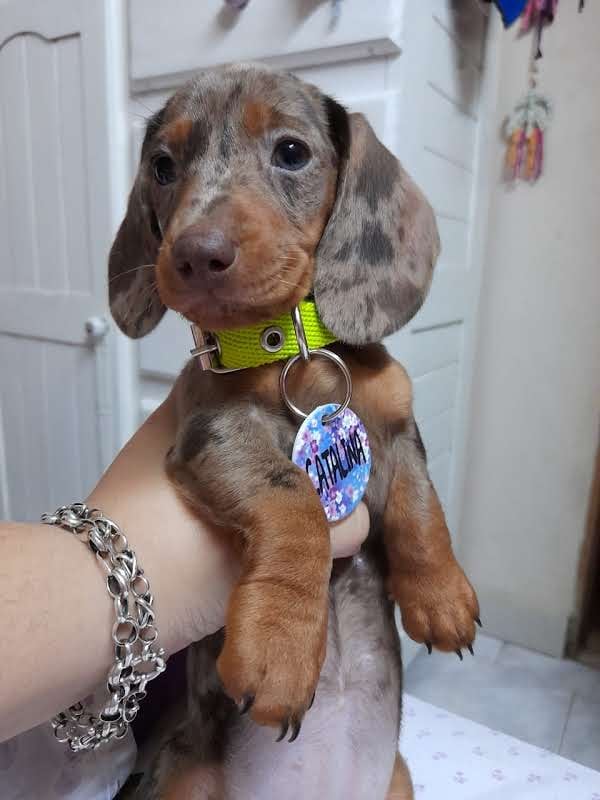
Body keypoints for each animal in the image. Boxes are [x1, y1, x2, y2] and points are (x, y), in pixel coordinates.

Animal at [110, 64, 480, 800]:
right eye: (162, 166)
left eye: (290, 152)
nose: (194, 254)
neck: (287, 347)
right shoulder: (215, 431)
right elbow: (295, 502)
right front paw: (281, 647)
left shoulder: (395, 419)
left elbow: (420, 501)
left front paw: (441, 594)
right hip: (183, 779)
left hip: (399, 779)